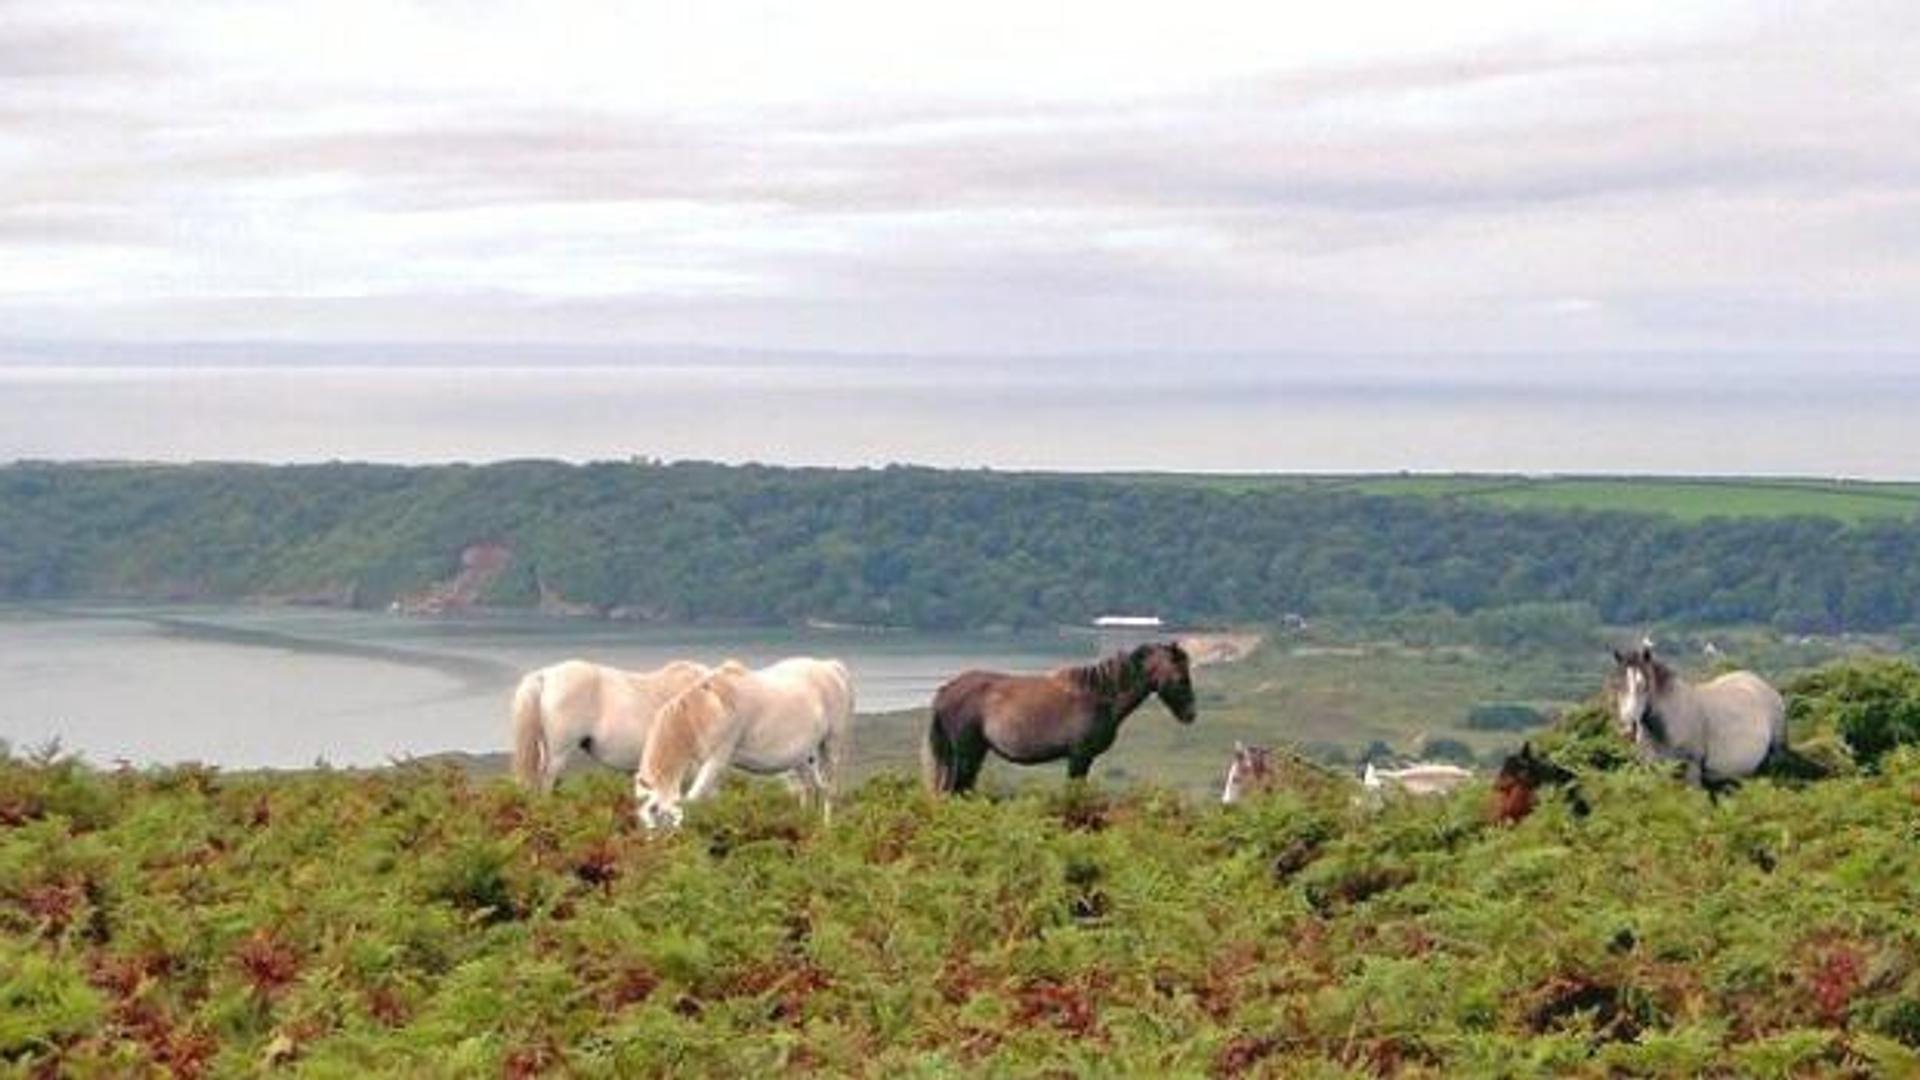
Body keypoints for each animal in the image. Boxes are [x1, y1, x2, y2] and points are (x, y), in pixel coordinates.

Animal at [632, 657, 855, 830]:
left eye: (656, 813)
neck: (708, 710)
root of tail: (832, 667)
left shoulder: (718, 759)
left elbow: (694, 799)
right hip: (802, 758)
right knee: (809, 788)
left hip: (831, 746)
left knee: (829, 788)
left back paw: (826, 827)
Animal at [923, 641, 1195, 795]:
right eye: (1181, 678)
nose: (1190, 714)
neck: (1098, 696)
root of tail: (946, 690)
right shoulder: (1079, 757)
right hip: (967, 755)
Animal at [1610, 642, 1785, 789]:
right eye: (1616, 685)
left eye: (1643, 685)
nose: (1627, 728)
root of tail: (1766, 687)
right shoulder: (1653, 769)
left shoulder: (1692, 770)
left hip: (1773, 760)